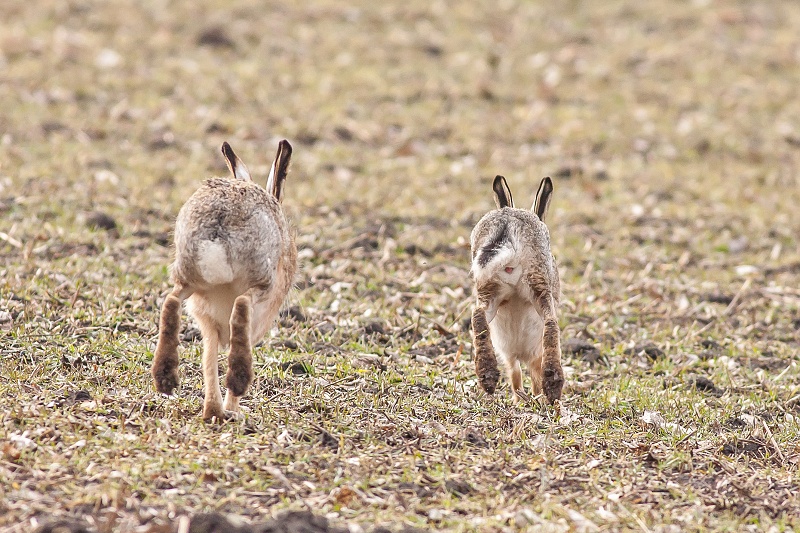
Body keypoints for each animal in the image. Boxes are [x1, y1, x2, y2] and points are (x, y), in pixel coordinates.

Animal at [151, 140, 298, 422]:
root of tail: (217, 227)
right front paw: (234, 409)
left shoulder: (208, 321)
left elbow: (209, 359)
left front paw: (220, 411)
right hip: (261, 281)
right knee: (241, 306)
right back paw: (238, 384)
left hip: (191, 281)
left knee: (171, 303)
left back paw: (170, 381)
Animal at [470, 175, 564, 404]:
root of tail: (507, 224)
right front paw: (535, 397)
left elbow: (515, 374)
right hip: (538, 284)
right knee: (551, 322)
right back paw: (553, 386)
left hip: (490, 288)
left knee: (478, 315)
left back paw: (487, 375)